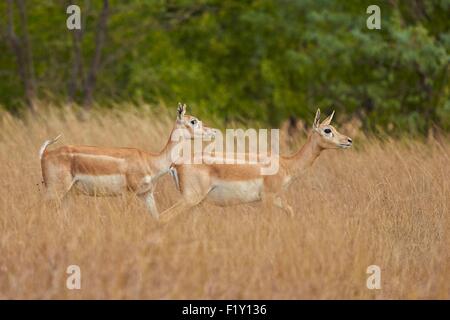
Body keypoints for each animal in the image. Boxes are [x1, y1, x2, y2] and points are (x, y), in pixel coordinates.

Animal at [38, 104, 216, 219]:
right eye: (193, 121)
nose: (213, 131)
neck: (150, 161)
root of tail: (45, 153)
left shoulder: (146, 194)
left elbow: (157, 217)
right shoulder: (128, 194)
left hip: (67, 194)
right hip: (55, 190)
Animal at [160, 109, 354, 222]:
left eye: (334, 127)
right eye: (327, 130)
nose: (348, 141)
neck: (286, 164)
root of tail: (175, 165)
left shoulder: (277, 199)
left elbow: (291, 211)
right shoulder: (267, 199)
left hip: (196, 204)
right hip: (190, 199)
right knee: (162, 217)